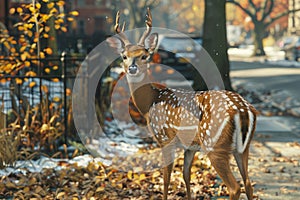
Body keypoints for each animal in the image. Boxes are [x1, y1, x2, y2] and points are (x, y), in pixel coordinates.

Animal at [107, 8, 258, 200]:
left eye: (144, 56)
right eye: (124, 56)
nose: (132, 68)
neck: (149, 103)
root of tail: (244, 111)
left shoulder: (164, 138)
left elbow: (166, 177)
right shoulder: (190, 146)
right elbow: (186, 175)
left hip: (214, 143)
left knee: (234, 187)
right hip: (242, 148)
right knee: (248, 184)